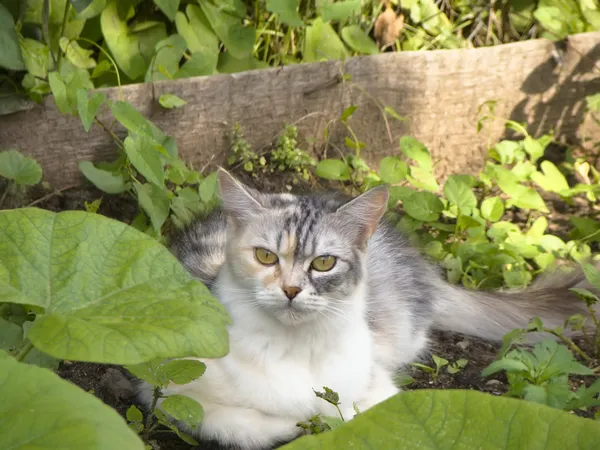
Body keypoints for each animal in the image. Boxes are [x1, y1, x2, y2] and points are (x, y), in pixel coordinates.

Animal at [138, 170, 592, 450]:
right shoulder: (163, 387)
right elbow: (234, 424)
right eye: (266, 256)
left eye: (324, 263)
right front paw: (296, 424)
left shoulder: (377, 385)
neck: (294, 349)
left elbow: (357, 416)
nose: (291, 290)